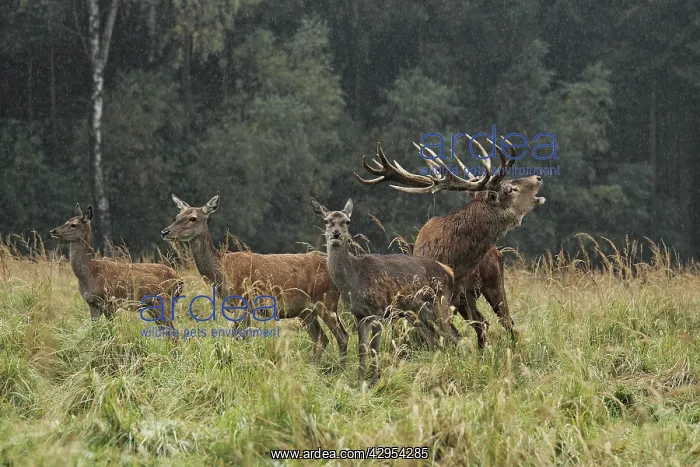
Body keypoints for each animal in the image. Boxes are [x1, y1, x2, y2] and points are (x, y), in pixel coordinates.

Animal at [50, 204, 183, 335]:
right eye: (66, 221)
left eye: (73, 225)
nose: (53, 231)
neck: (90, 272)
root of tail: (180, 280)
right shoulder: (92, 304)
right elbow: (95, 332)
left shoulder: (110, 301)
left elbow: (111, 331)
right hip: (152, 306)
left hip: (163, 301)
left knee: (173, 332)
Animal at [160, 193, 349, 363]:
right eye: (177, 216)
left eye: (193, 218)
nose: (165, 231)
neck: (222, 270)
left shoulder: (243, 301)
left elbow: (240, 338)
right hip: (306, 310)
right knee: (321, 338)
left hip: (327, 301)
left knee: (342, 336)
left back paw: (341, 367)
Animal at [311, 198, 457, 387]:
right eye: (326, 221)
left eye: (347, 221)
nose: (336, 234)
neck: (353, 279)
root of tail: (448, 271)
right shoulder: (359, 315)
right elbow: (362, 348)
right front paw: (359, 380)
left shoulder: (378, 310)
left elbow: (374, 348)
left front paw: (374, 380)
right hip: (417, 312)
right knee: (438, 338)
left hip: (441, 301)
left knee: (449, 334)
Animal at [355, 139, 545, 348]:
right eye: (510, 189)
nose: (537, 177)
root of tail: (497, 251)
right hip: (467, 298)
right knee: (483, 323)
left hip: (492, 282)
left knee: (506, 324)